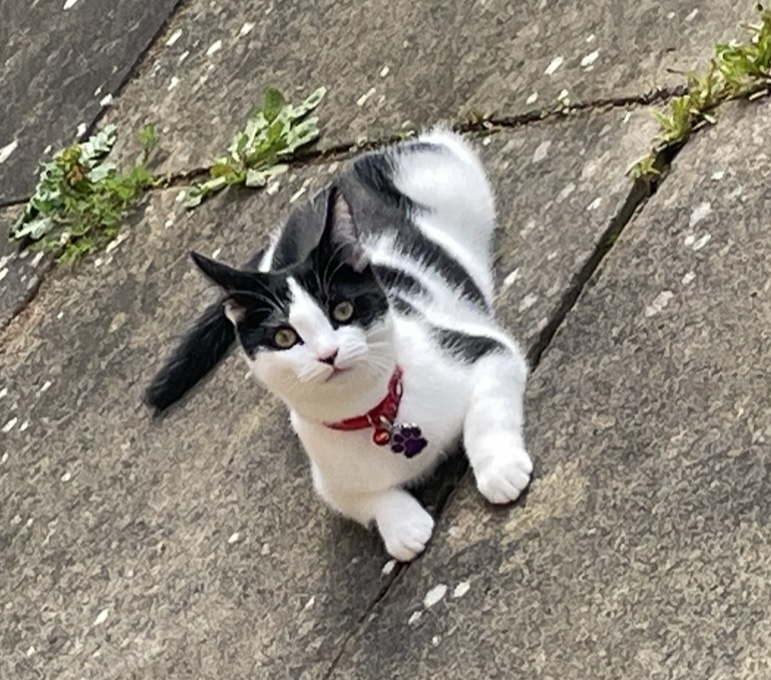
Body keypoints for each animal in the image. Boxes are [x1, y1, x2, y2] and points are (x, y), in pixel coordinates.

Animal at [145, 128, 532, 562]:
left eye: (343, 310)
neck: (377, 415)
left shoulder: (482, 351)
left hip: (451, 177)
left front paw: (499, 470)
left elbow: (486, 413)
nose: (328, 355)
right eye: (284, 337)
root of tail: (324, 187)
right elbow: (363, 498)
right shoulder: (328, 480)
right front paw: (403, 526)